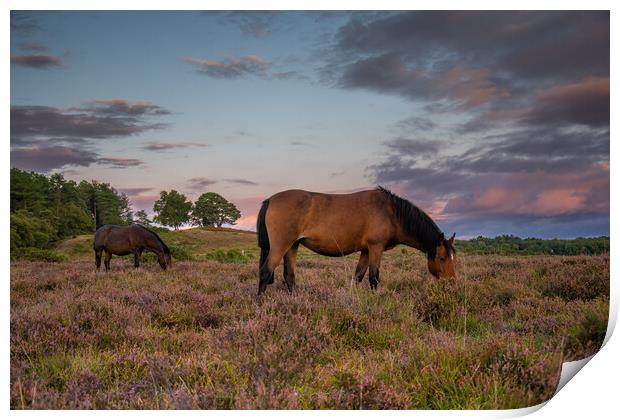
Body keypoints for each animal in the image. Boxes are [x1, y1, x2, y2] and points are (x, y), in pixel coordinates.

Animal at [256, 187, 456, 296]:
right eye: (442, 258)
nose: (452, 284)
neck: (391, 212)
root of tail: (270, 200)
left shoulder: (366, 251)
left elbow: (357, 277)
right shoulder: (376, 248)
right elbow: (373, 278)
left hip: (292, 246)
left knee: (289, 276)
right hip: (280, 246)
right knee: (265, 271)